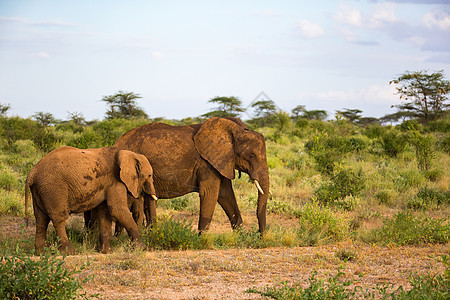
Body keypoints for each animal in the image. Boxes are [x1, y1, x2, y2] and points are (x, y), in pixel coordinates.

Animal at [25, 145, 158, 253]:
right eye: (149, 175)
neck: (127, 153)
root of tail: (32, 172)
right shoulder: (114, 180)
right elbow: (117, 210)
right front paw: (142, 248)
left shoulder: (107, 183)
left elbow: (105, 212)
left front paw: (106, 252)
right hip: (54, 188)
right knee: (59, 218)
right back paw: (70, 252)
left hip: (40, 190)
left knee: (41, 219)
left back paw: (40, 252)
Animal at [114, 116, 268, 232]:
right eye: (252, 156)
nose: (260, 235)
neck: (236, 131)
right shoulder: (206, 164)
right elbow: (209, 193)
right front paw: (202, 241)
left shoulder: (220, 161)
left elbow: (225, 194)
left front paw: (241, 238)